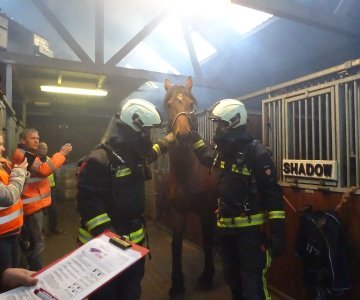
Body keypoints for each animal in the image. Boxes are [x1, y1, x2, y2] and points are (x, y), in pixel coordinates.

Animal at [162, 76, 218, 296]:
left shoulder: (207, 213)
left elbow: (208, 242)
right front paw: (177, 285)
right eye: (169, 105)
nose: (184, 135)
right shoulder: (179, 212)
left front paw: (206, 278)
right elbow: (175, 245)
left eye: (191, 105)